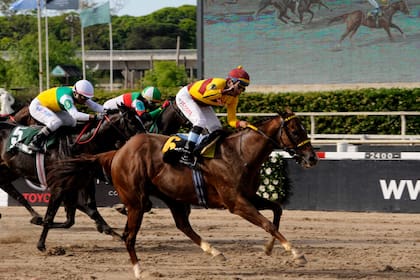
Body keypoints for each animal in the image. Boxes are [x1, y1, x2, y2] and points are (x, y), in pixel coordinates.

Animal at [47, 108, 318, 278]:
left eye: (304, 130)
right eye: (296, 131)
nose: (312, 158)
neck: (241, 154)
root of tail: (117, 152)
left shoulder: (249, 197)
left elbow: (277, 210)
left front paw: (270, 248)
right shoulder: (236, 203)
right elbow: (267, 223)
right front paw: (297, 253)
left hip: (173, 196)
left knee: (182, 225)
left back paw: (214, 251)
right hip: (136, 201)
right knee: (129, 236)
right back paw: (139, 270)